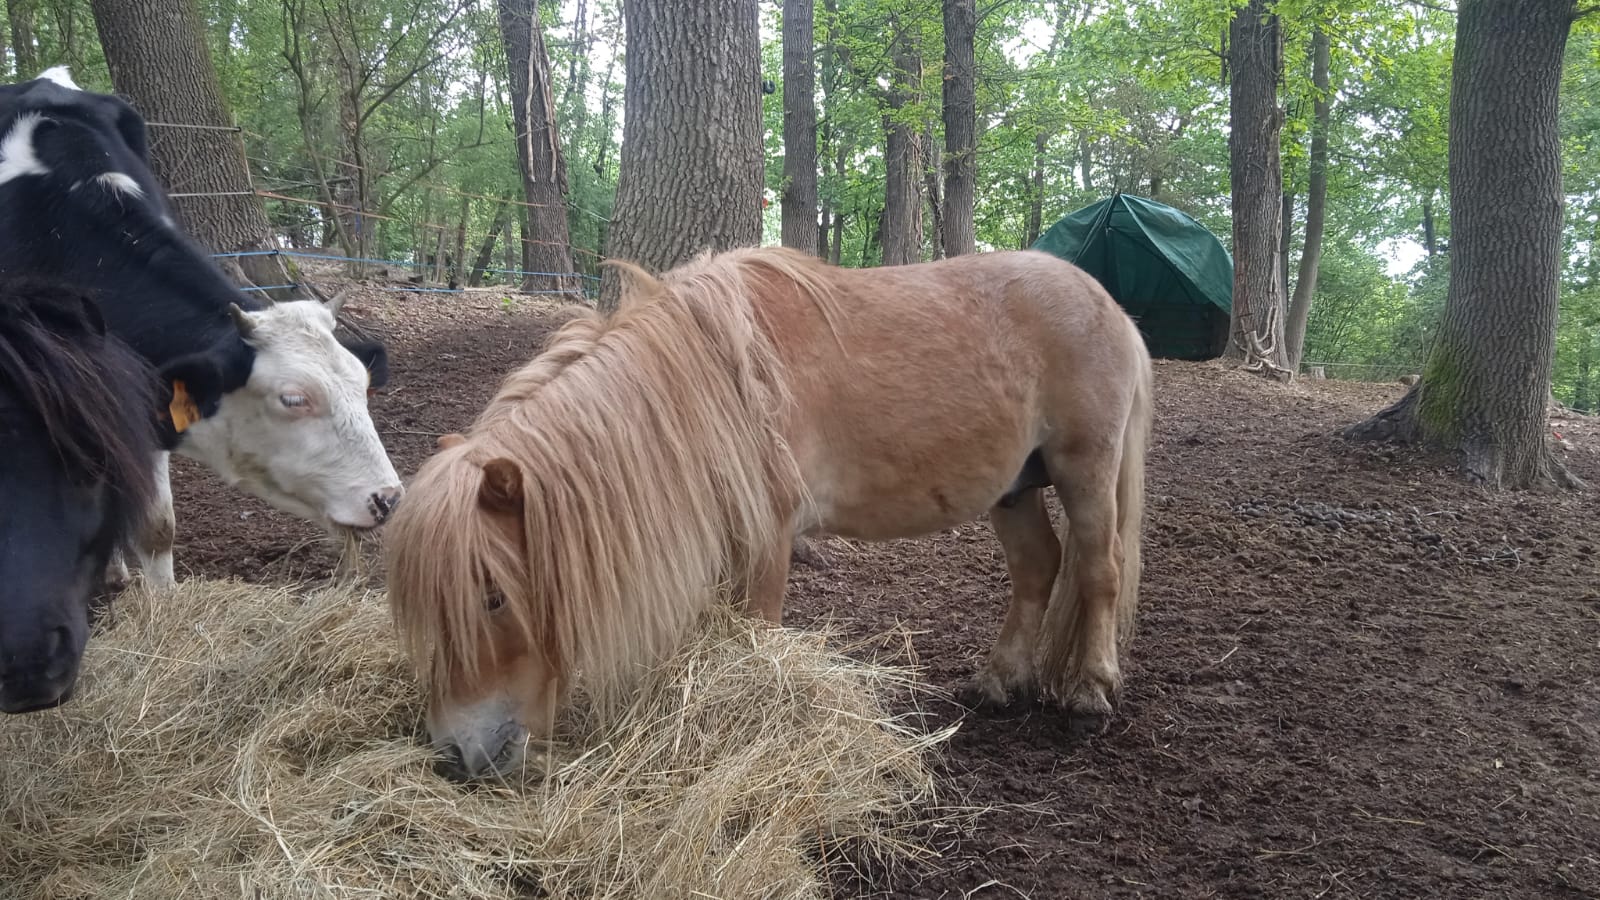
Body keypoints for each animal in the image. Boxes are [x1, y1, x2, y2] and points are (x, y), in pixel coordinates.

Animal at [385, 247, 1153, 779]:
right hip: (1014, 490)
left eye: (492, 597)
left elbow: (754, 634)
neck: (714, 384)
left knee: (1099, 569)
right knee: (1038, 569)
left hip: (1085, 472)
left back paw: (1090, 690)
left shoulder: (769, 540)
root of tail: (1108, 304)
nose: (451, 754)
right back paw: (999, 682)